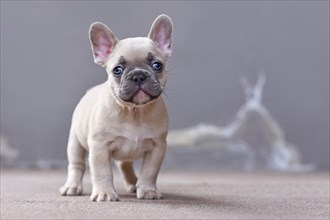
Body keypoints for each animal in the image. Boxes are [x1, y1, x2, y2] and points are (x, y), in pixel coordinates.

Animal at [60, 14, 173, 202]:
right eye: (117, 70)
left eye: (157, 65)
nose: (138, 75)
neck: (134, 111)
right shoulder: (99, 146)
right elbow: (102, 171)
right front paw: (105, 193)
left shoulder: (157, 147)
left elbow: (150, 171)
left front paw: (147, 190)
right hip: (75, 142)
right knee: (76, 165)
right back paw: (72, 186)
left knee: (125, 165)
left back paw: (134, 184)